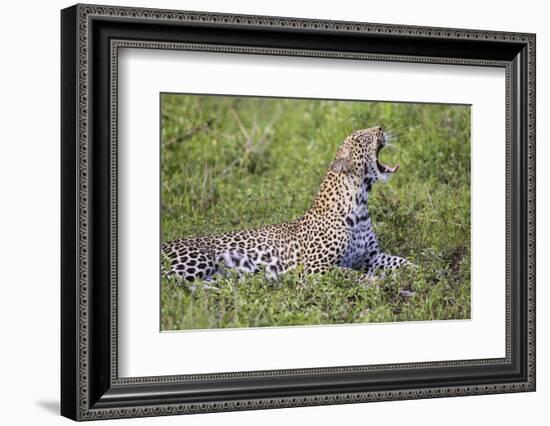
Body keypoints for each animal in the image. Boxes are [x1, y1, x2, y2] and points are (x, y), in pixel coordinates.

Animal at [162, 125, 412, 282]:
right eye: (362, 138)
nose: (380, 128)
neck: (360, 203)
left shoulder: (371, 256)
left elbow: (401, 261)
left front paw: (417, 271)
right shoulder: (315, 268)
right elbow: (352, 274)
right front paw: (375, 281)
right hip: (197, 261)